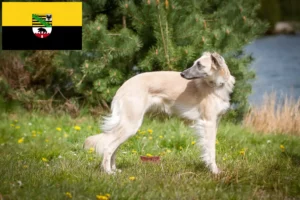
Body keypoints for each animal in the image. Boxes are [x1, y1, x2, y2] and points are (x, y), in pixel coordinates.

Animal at [83, 52, 236, 175]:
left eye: (199, 65)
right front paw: (214, 171)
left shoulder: (214, 122)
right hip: (131, 124)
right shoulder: (208, 123)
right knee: (109, 147)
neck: (216, 85)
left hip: (127, 125)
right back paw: (108, 172)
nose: (182, 74)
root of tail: (123, 86)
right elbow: (211, 149)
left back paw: (114, 169)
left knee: (114, 146)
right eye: (195, 63)